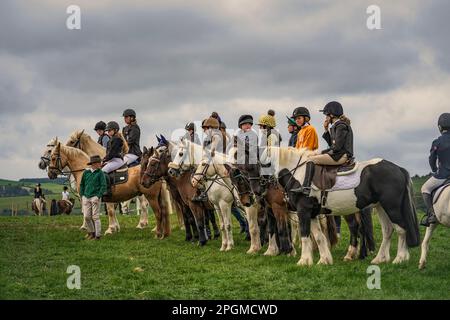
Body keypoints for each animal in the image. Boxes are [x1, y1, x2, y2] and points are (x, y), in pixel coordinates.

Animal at [262, 146, 420, 266]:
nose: (261, 188)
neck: (298, 173)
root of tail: (398, 169)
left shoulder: (303, 211)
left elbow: (305, 235)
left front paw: (304, 261)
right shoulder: (311, 213)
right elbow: (319, 237)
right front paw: (324, 260)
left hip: (392, 207)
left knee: (401, 229)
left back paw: (400, 258)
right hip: (381, 207)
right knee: (387, 230)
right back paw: (380, 259)